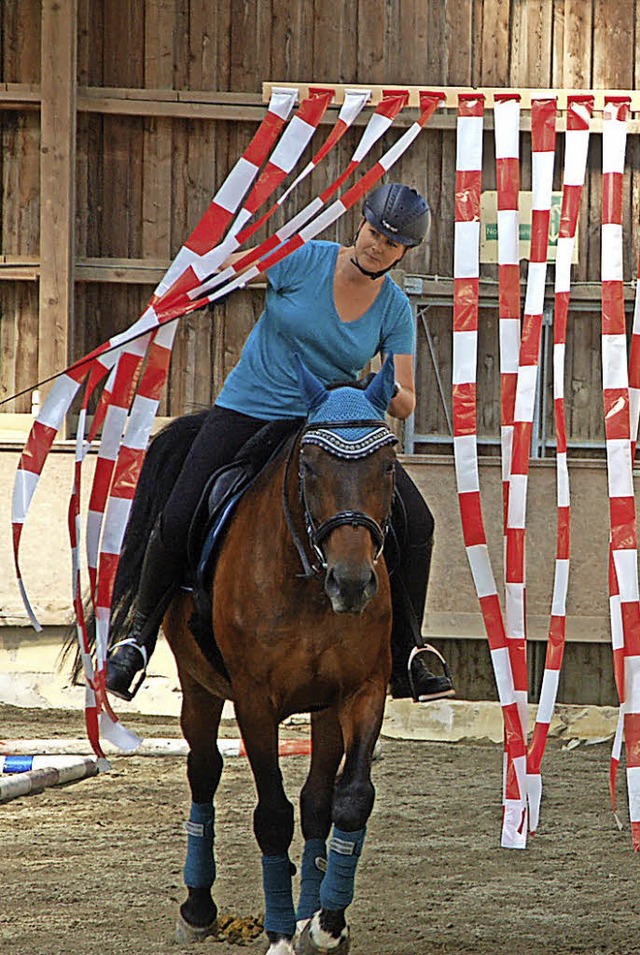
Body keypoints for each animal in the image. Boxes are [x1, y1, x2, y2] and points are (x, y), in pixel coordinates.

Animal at [94, 354, 400, 952]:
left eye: (389, 465)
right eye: (309, 466)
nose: (353, 584)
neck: (308, 578)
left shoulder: (361, 691)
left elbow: (348, 798)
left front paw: (327, 922)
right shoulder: (255, 702)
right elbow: (272, 816)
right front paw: (279, 932)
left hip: (324, 708)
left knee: (317, 800)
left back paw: (308, 912)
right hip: (199, 687)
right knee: (204, 769)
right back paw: (199, 906)